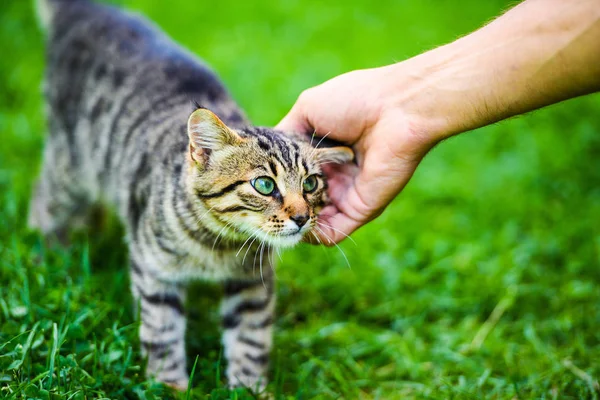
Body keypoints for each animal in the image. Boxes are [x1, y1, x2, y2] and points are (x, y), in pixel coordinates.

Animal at [30, 0, 354, 392]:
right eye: (264, 185)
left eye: (310, 185)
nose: (302, 217)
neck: (220, 245)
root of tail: (92, 12)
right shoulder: (154, 271)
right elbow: (162, 332)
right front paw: (168, 387)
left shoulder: (253, 283)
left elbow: (250, 339)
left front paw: (248, 389)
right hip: (70, 165)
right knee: (45, 200)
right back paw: (48, 254)